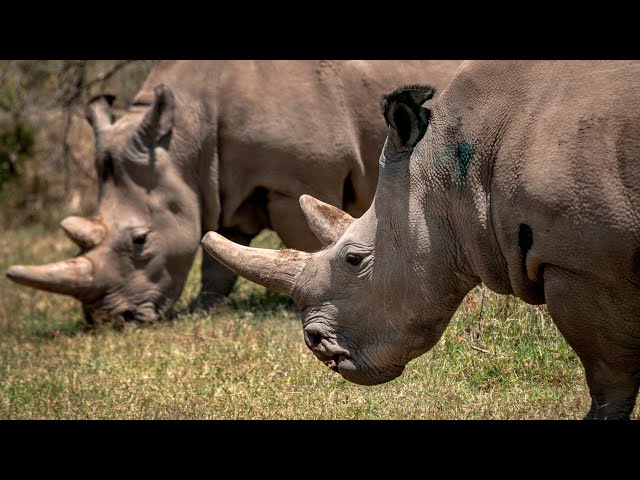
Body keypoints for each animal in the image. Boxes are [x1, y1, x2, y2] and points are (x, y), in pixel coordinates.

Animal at [3, 58, 460, 324]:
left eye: (140, 240)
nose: (111, 320)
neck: (185, 135)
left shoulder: (295, 180)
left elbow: (302, 238)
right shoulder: (219, 182)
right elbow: (217, 251)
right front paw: (204, 309)